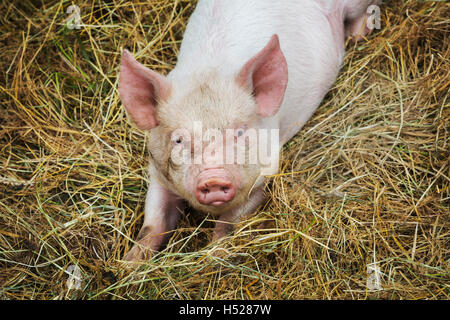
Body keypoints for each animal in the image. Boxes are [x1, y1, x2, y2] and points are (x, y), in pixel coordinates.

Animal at [118, 0, 380, 262]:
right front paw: (127, 265)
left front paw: (214, 256)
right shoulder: (157, 173)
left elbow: (228, 225)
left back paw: (358, 34)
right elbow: (152, 224)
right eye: (178, 140)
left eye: (241, 133)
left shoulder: (266, 173)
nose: (213, 178)